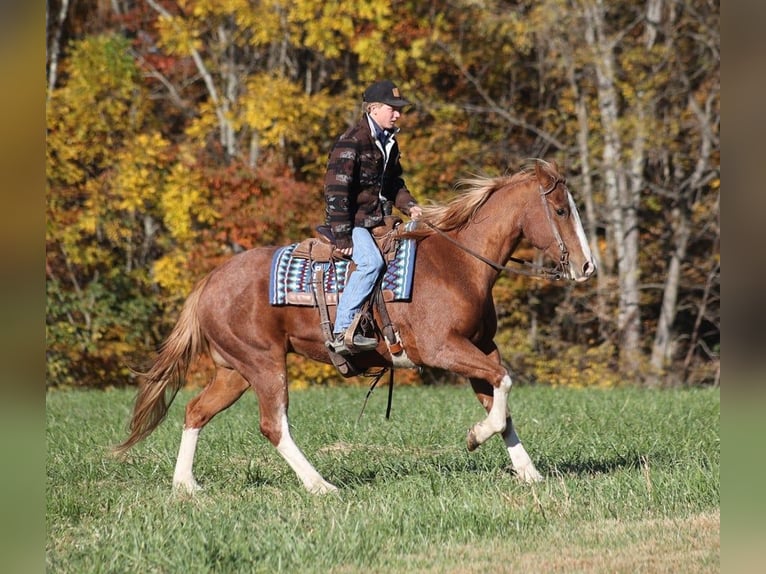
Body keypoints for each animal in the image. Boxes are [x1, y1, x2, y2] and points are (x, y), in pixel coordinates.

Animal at [114, 159, 596, 494]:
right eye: (559, 209)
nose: (587, 266)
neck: (457, 264)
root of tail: (210, 282)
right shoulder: (443, 349)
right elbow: (503, 385)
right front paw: (476, 437)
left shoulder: (482, 347)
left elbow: (501, 399)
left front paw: (529, 473)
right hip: (264, 365)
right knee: (273, 425)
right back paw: (320, 485)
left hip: (235, 371)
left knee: (196, 411)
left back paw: (186, 486)